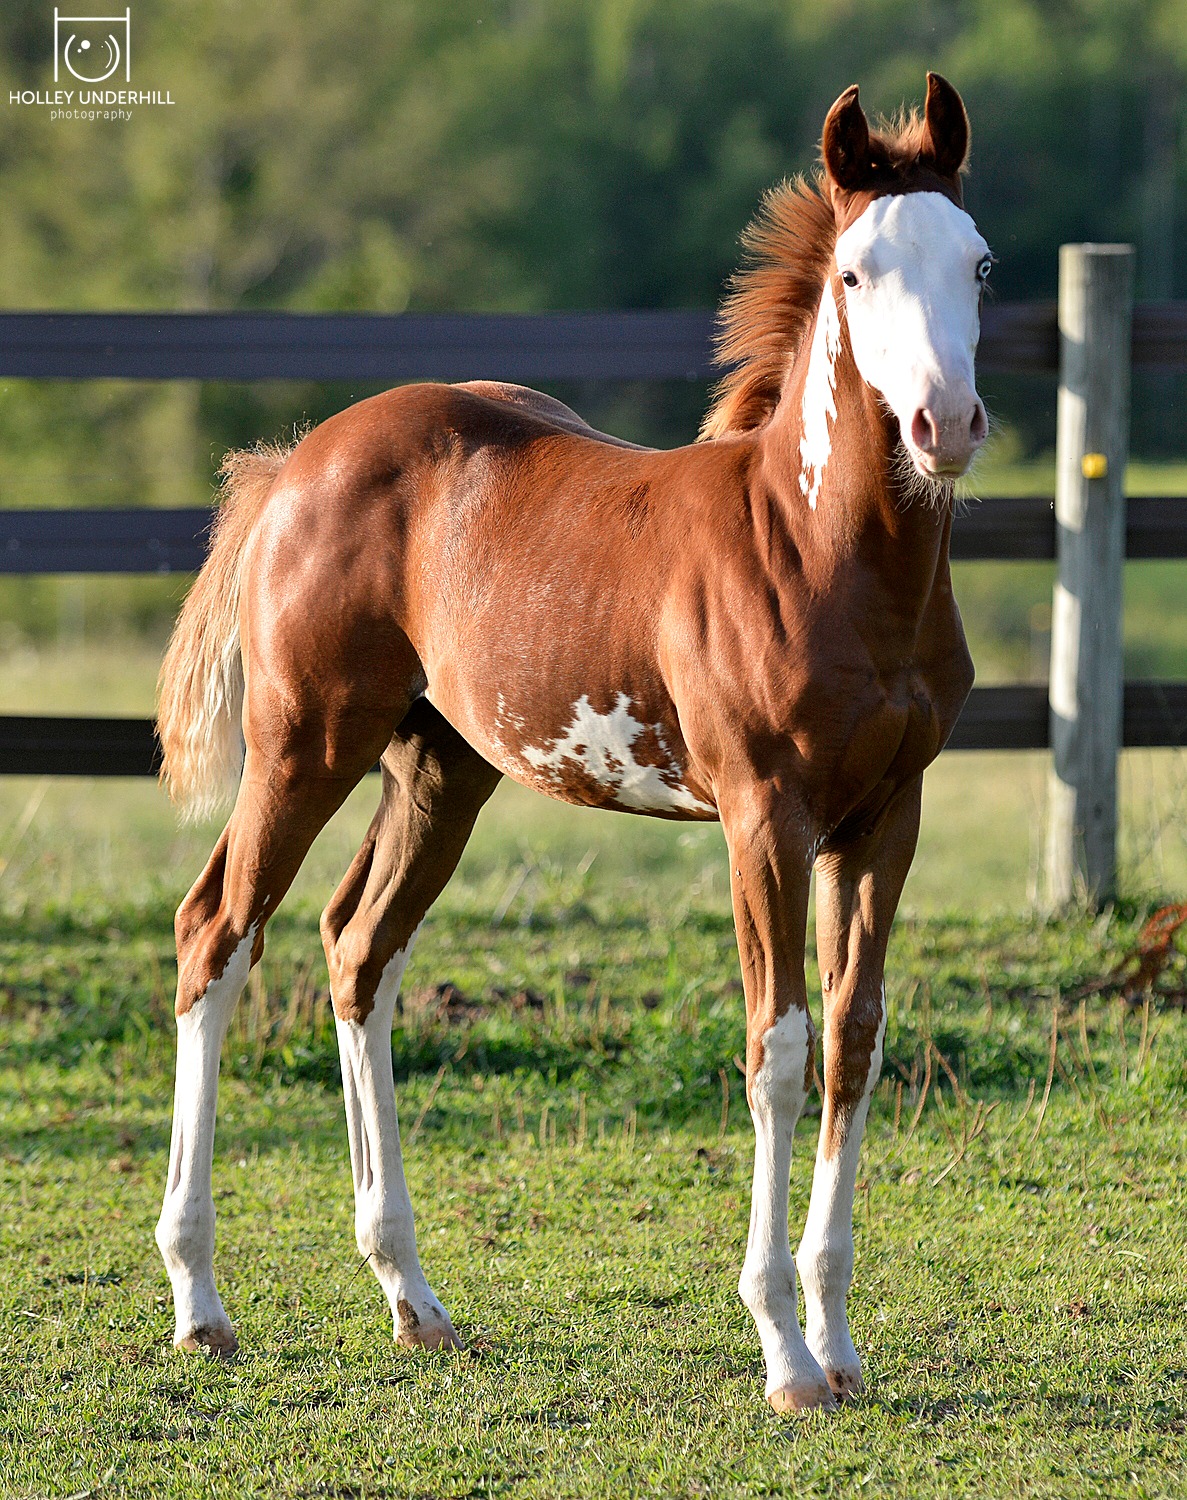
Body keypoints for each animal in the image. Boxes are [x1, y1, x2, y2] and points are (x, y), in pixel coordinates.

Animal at [159, 76, 996, 1410]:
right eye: (855, 272)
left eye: (977, 263)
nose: (945, 424)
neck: (822, 553)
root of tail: (297, 459)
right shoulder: (763, 817)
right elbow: (776, 1046)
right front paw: (784, 1356)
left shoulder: (883, 817)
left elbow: (854, 1040)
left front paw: (840, 1342)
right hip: (304, 741)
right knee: (217, 934)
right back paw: (199, 1301)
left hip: (437, 771)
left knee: (357, 950)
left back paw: (412, 1298)